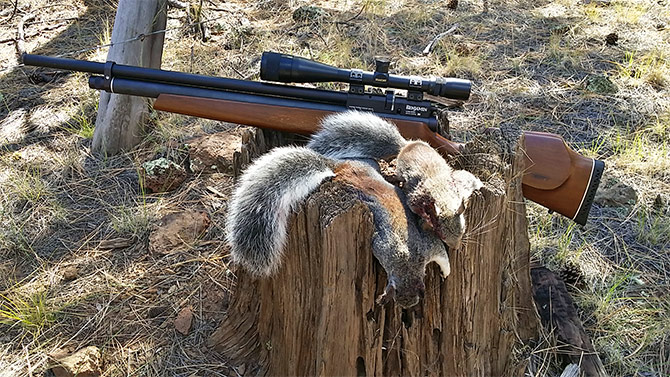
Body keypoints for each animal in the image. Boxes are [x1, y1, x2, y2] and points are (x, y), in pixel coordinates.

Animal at [226, 110, 484, 306]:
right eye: (398, 298)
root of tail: (336, 165)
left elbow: (440, 253)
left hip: (368, 164)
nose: (409, 307)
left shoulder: (426, 246)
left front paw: (445, 271)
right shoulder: (383, 248)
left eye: (418, 297)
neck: (406, 260)